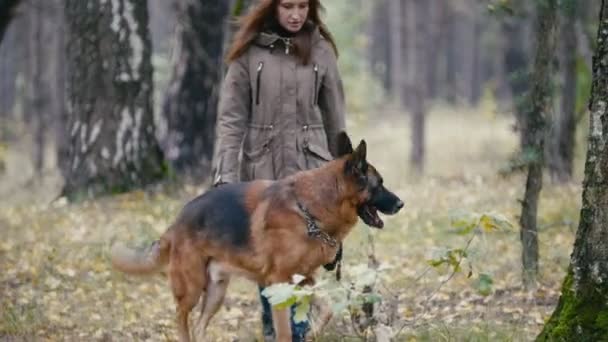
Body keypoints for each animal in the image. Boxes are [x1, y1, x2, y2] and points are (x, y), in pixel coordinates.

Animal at [111, 132, 402, 340]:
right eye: (379, 184)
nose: (401, 204)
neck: (310, 210)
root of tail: (176, 223)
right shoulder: (279, 282)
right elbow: (284, 331)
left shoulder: (304, 280)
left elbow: (328, 307)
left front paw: (312, 332)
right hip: (191, 288)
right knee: (181, 319)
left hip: (216, 292)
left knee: (199, 326)